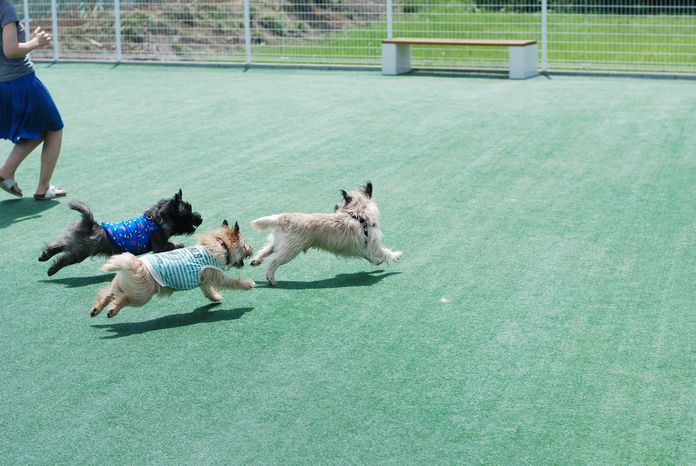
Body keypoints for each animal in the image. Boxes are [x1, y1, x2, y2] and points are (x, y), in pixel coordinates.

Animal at [38, 189, 203, 276]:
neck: (157, 220)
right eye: (187, 213)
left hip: (73, 242)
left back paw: (44, 256)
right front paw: (179, 245)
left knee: (57, 245)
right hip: (80, 252)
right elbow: (172, 245)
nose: (200, 218)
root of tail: (89, 223)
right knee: (64, 258)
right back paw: (52, 269)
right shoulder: (160, 245)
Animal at [91, 220, 254, 318]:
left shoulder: (203, 279)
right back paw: (112, 310)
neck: (221, 244)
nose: (251, 249)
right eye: (244, 244)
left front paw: (215, 297)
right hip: (142, 296)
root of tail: (135, 264)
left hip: (120, 284)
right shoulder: (216, 275)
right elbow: (231, 282)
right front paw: (248, 284)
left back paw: (96, 309)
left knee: (108, 293)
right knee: (123, 299)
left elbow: (207, 290)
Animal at [250, 181, 402, 284]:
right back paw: (270, 277)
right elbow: (384, 252)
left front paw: (376, 261)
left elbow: (370, 255)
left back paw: (256, 260)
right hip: (290, 250)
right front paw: (395, 255)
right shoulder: (372, 243)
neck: (358, 215)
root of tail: (284, 217)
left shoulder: (364, 248)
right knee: (273, 261)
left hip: (279, 243)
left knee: (266, 250)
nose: (335, 206)